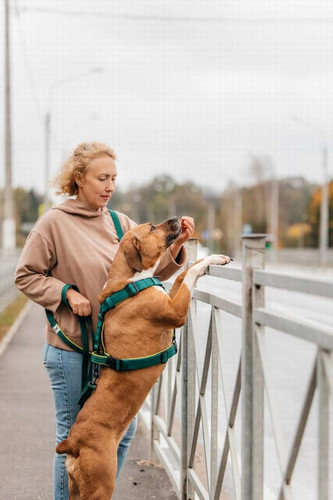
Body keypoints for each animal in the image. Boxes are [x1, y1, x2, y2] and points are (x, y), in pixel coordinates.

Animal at [55, 217, 230, 498]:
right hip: (101, 484)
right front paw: (207, 262)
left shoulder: (171, 296)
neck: (130, 279)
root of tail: (73, 443)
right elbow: (190, 274)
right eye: (151, 228)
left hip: (77, 490)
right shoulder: (175, 310)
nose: (175, 219)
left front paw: (214, 257)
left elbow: (182, 274)